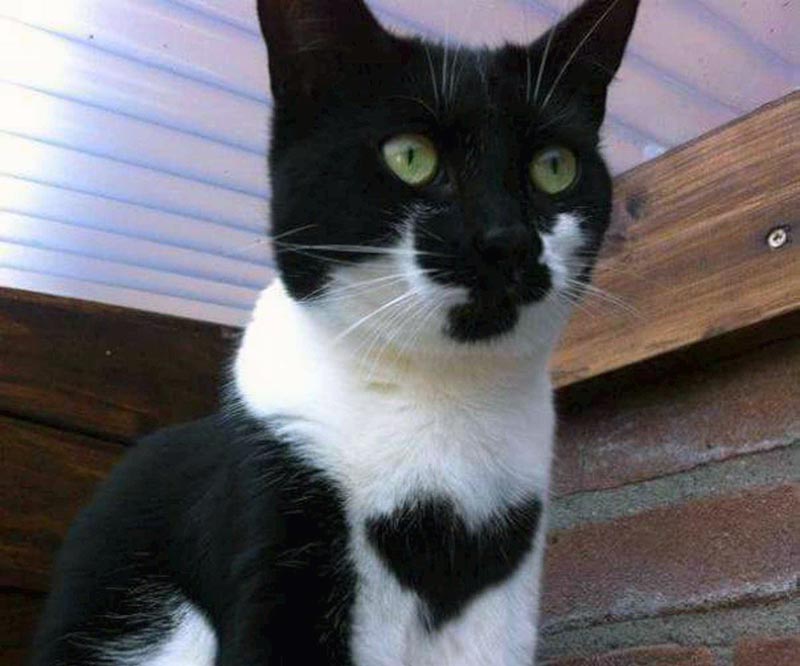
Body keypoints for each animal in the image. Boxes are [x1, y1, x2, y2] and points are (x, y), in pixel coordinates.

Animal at [31, 0, 640, 660]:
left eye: (553, 166)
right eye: (411, 157)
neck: (441, 399)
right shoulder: (282, 504)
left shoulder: (507, 575)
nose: (507, 240)